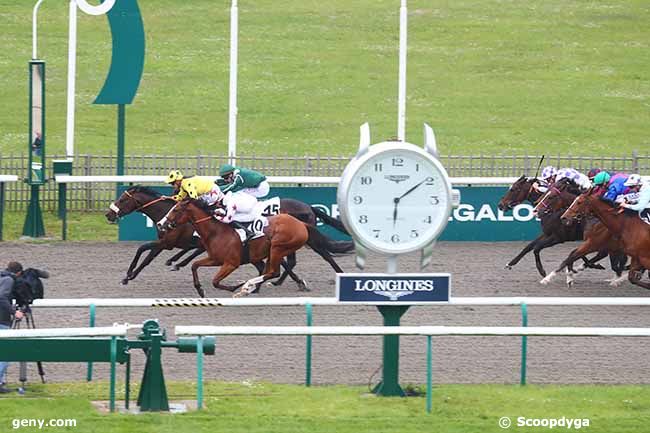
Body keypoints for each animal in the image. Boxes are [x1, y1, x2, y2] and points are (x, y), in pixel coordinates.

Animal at [106, 185, 352, 284]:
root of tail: (309, 207)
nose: (109, 213)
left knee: (321, 255)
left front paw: (129, 275)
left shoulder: (167, 242)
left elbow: (145, 252)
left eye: (123, 199)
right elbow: (151, 252)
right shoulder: (174, 242)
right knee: (288, 261)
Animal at [159, 199, 342, 296]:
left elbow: (216, 281)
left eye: (176, 209)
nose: (161, 224)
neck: (216, 231)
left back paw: (249, 285)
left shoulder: (231, 263)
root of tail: (301, 223)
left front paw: (235, 287)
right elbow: (194, 265)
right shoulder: (214, 259)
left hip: (277, 247)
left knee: (274, 271)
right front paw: (199, 289)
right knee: (275, 268)